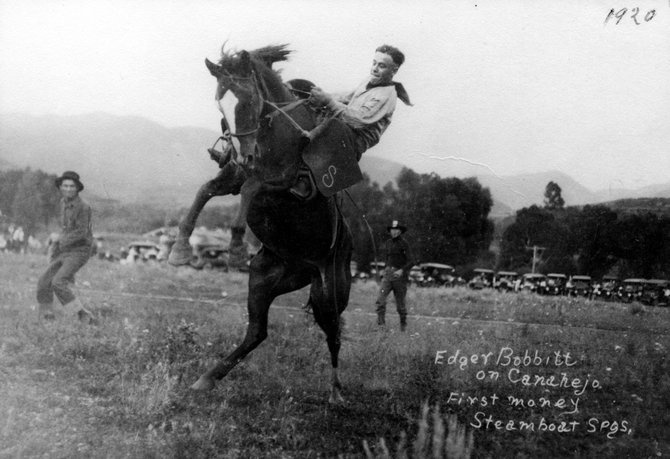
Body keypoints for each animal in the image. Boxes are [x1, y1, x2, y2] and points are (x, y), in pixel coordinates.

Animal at [189, 43, 356, 402]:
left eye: (251, 100)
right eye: (221, 105)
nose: (242, 155)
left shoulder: (287, 183)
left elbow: (251, 188)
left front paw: (236, 247)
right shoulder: (234, 176)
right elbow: (206, 190)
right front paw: (179, 250)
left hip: (329, 291)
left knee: (334, 332)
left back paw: (336, 390)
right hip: (263, 280)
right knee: (257, 332)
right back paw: (207, 378)